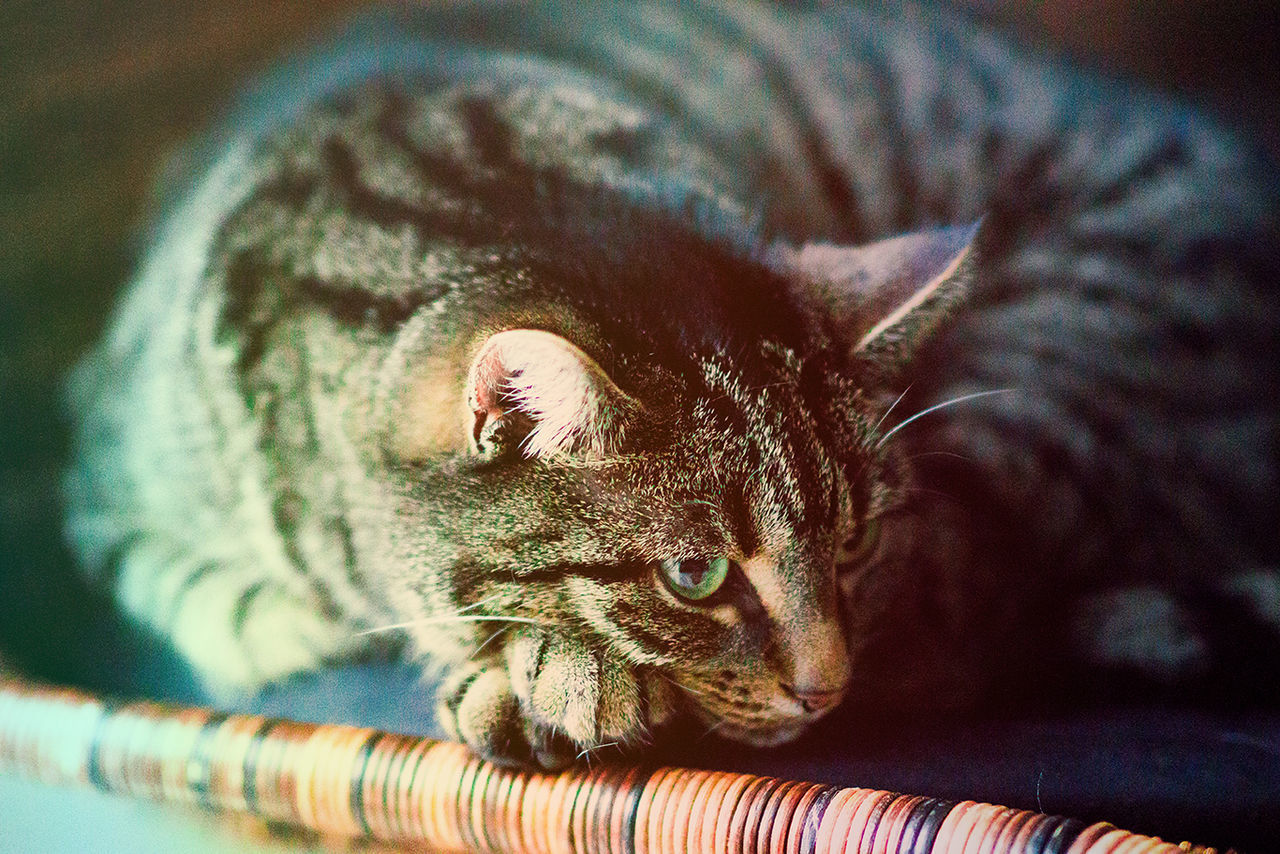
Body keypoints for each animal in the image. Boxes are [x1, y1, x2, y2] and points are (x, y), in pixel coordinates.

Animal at [62, 0, 1280, 773]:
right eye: (694, 575)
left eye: (852, 541)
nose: (822, 689)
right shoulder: (104, 489)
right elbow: (218, 601)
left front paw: (549, 675)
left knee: (962, 627)